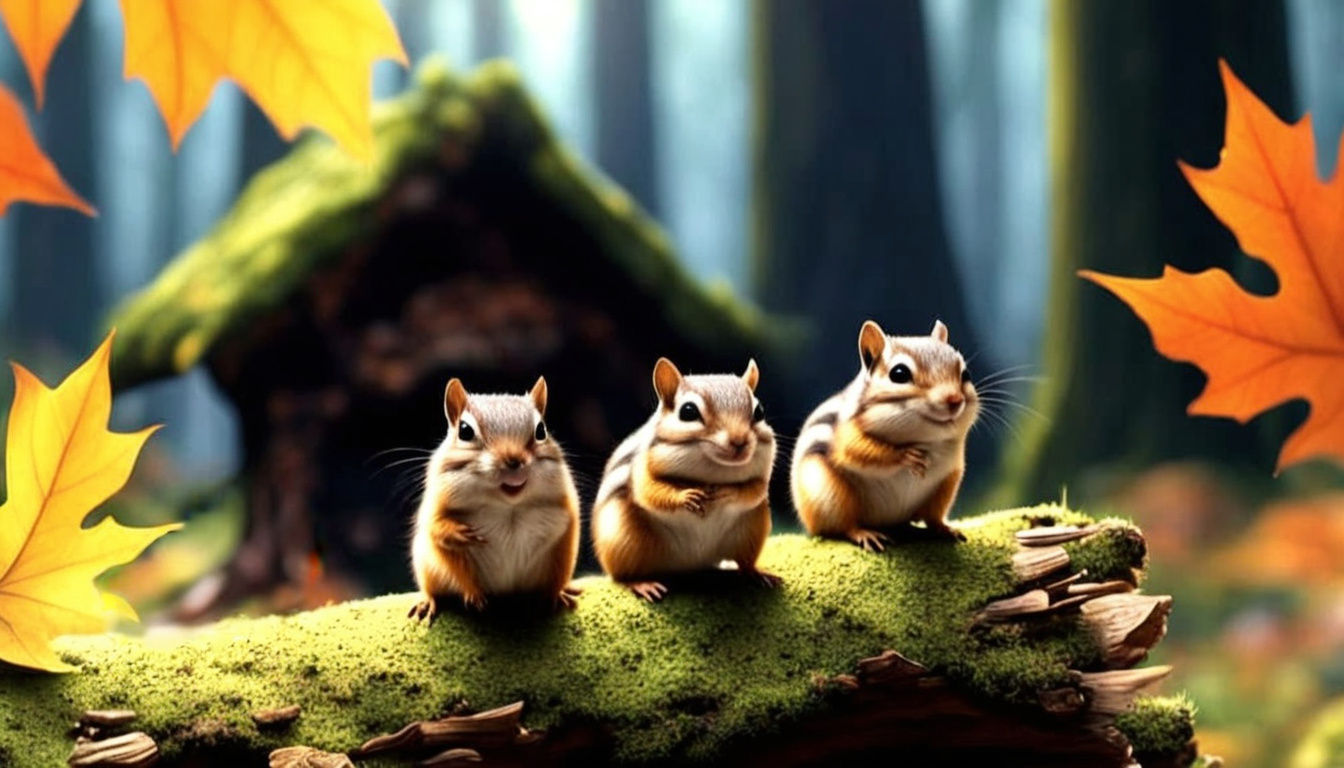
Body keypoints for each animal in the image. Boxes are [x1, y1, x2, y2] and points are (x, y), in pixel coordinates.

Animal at [409, 376, 580, 621]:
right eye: (465, 431)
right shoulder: (435, 506)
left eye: (541, 430)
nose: (513, 460)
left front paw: (557, 593)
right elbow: (437, 532)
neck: (507, 506)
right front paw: (460, 537)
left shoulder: (567, 516)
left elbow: (561, 566)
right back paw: (427, 601)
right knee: (431, 589)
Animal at [592, 358, 780, 601]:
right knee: (621, 576)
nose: (739, 441)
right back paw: (641, 583)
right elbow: (649, 490)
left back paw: (757, 574)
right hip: (625, 539)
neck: (711, 471)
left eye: (759, 412)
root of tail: (691, 562)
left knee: (745, 563)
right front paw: (686, 496)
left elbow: (755, 490)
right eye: (688, 412)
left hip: (751, 530)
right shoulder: (641, 466)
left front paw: (727, 492)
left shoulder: (761, 476)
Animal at [791, 319, 978, 551]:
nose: (955, 399)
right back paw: (864, 533)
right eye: (899, 374)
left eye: (966, 374)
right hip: (828, 492)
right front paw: (906, 456)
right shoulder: (847, 433)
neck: (926, 438)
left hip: (944, 488)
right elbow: (857, 451)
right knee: (844, 524)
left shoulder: (952, 466)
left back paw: (942, 528)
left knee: (932, 518)